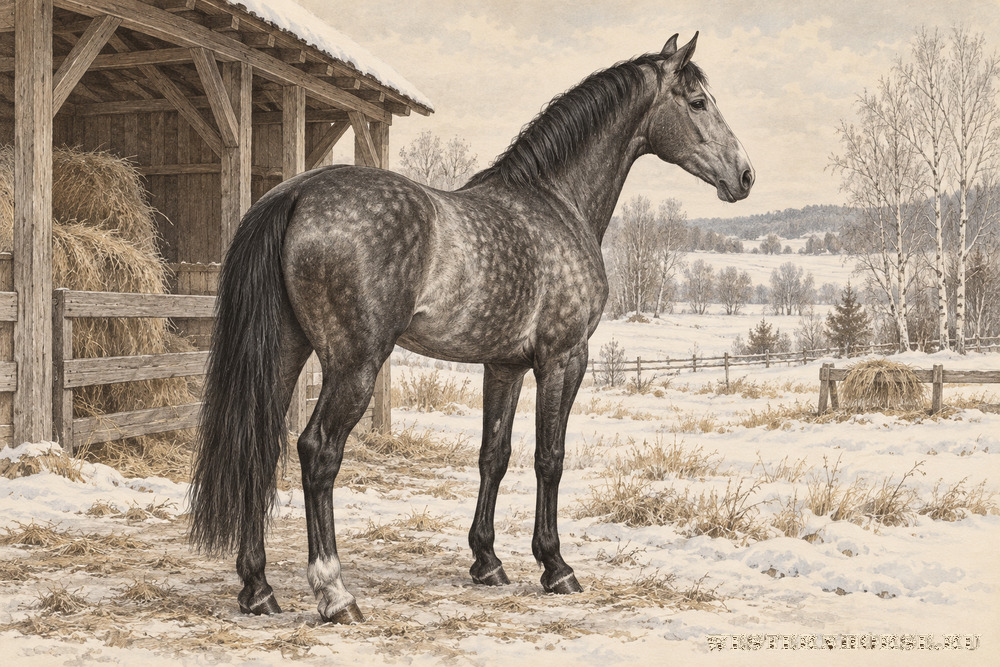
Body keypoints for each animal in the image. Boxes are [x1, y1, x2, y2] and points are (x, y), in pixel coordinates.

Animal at [189, 32, 753, 624]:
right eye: (698, 102)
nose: (744, 176)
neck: (557, 204)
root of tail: (293, 195)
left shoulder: (503, 366)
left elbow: (493, 456)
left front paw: (487, 561)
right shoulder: (563, 358)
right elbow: (549, 458)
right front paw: (556, 567)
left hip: (285, 351)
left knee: (260, 446)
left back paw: (257, 587)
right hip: (354, 365)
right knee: (318, 452)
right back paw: (335, 593)